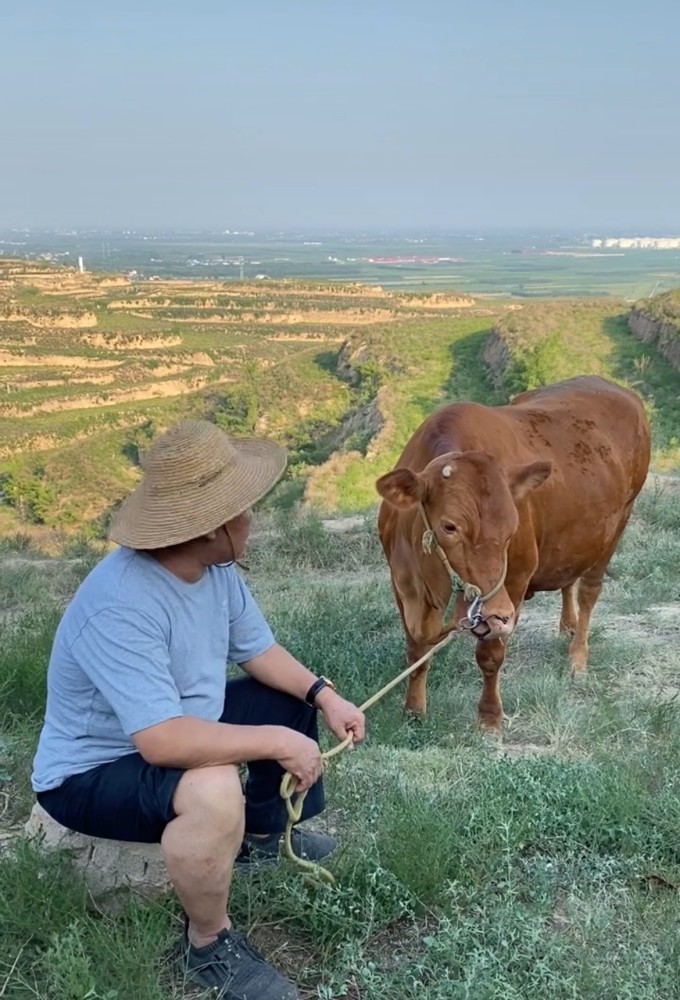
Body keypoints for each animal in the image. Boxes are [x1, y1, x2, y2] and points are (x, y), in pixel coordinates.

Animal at [374, 374, 652, 728]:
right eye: (449, 526)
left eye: (512, 527)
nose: (499, 614)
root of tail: (614, 387)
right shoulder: (401, 582)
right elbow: (416, 650)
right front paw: (413, 710)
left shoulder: (515, 579)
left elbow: (490, 656)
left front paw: (490, 718)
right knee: (569, 578)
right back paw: (567, 624)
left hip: (618, 525)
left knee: (589, 592)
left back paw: (577, 658)